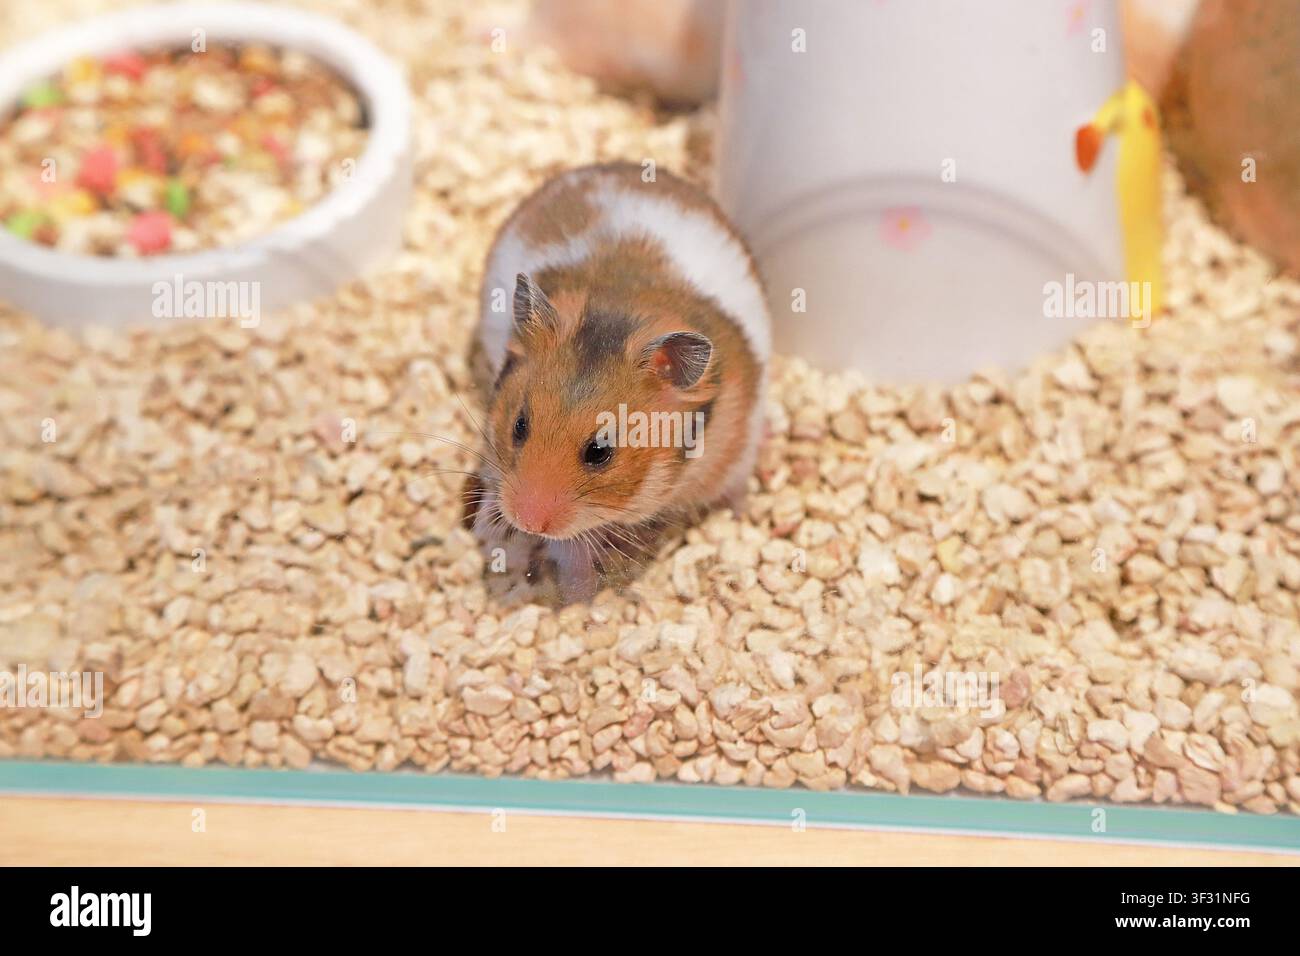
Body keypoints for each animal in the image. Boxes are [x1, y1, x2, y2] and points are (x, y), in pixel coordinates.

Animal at [464, 162, 770, 603]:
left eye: (601, 451)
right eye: (519, 427)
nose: (526, 521)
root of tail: (610, 166)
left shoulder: (737, 442)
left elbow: (737, 483)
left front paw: (742, 515)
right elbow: (572, 548)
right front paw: (582, 599)